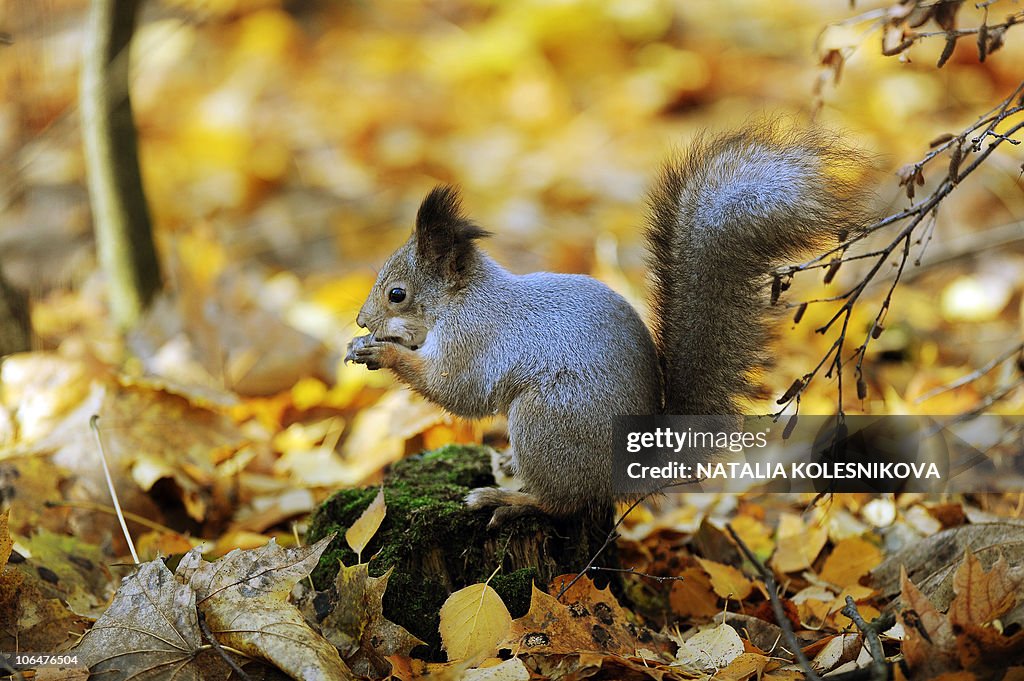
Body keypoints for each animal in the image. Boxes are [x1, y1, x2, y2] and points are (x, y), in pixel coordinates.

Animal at [348, 122, 868, 522]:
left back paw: (509, 499)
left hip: (548, 420)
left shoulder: (474, 339)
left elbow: (456, 390)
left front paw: (383, 350)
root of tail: (629, 468)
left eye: (398, 294)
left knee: (563, 503)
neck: (463, 299)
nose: (360, 319)